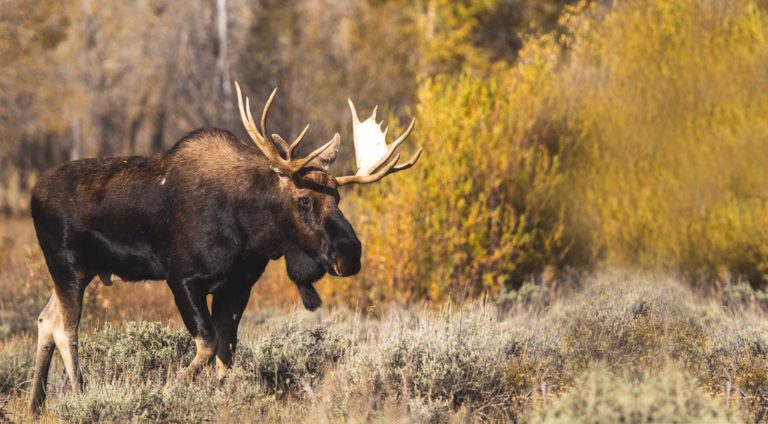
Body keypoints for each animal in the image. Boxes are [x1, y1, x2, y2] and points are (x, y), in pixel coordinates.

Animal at [28, 82, 420, 410]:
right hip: (68, 265)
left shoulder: (237, 286)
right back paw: (79, 394)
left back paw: (36, 404)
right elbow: (207, 343)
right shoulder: (183, 278)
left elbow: (226, 351)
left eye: (337, 198)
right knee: (66, 328)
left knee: (46, 318)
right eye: (304, 199)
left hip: (86, 270)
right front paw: (171, 388)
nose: (349, 253)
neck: (251, 232)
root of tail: (33, 194)